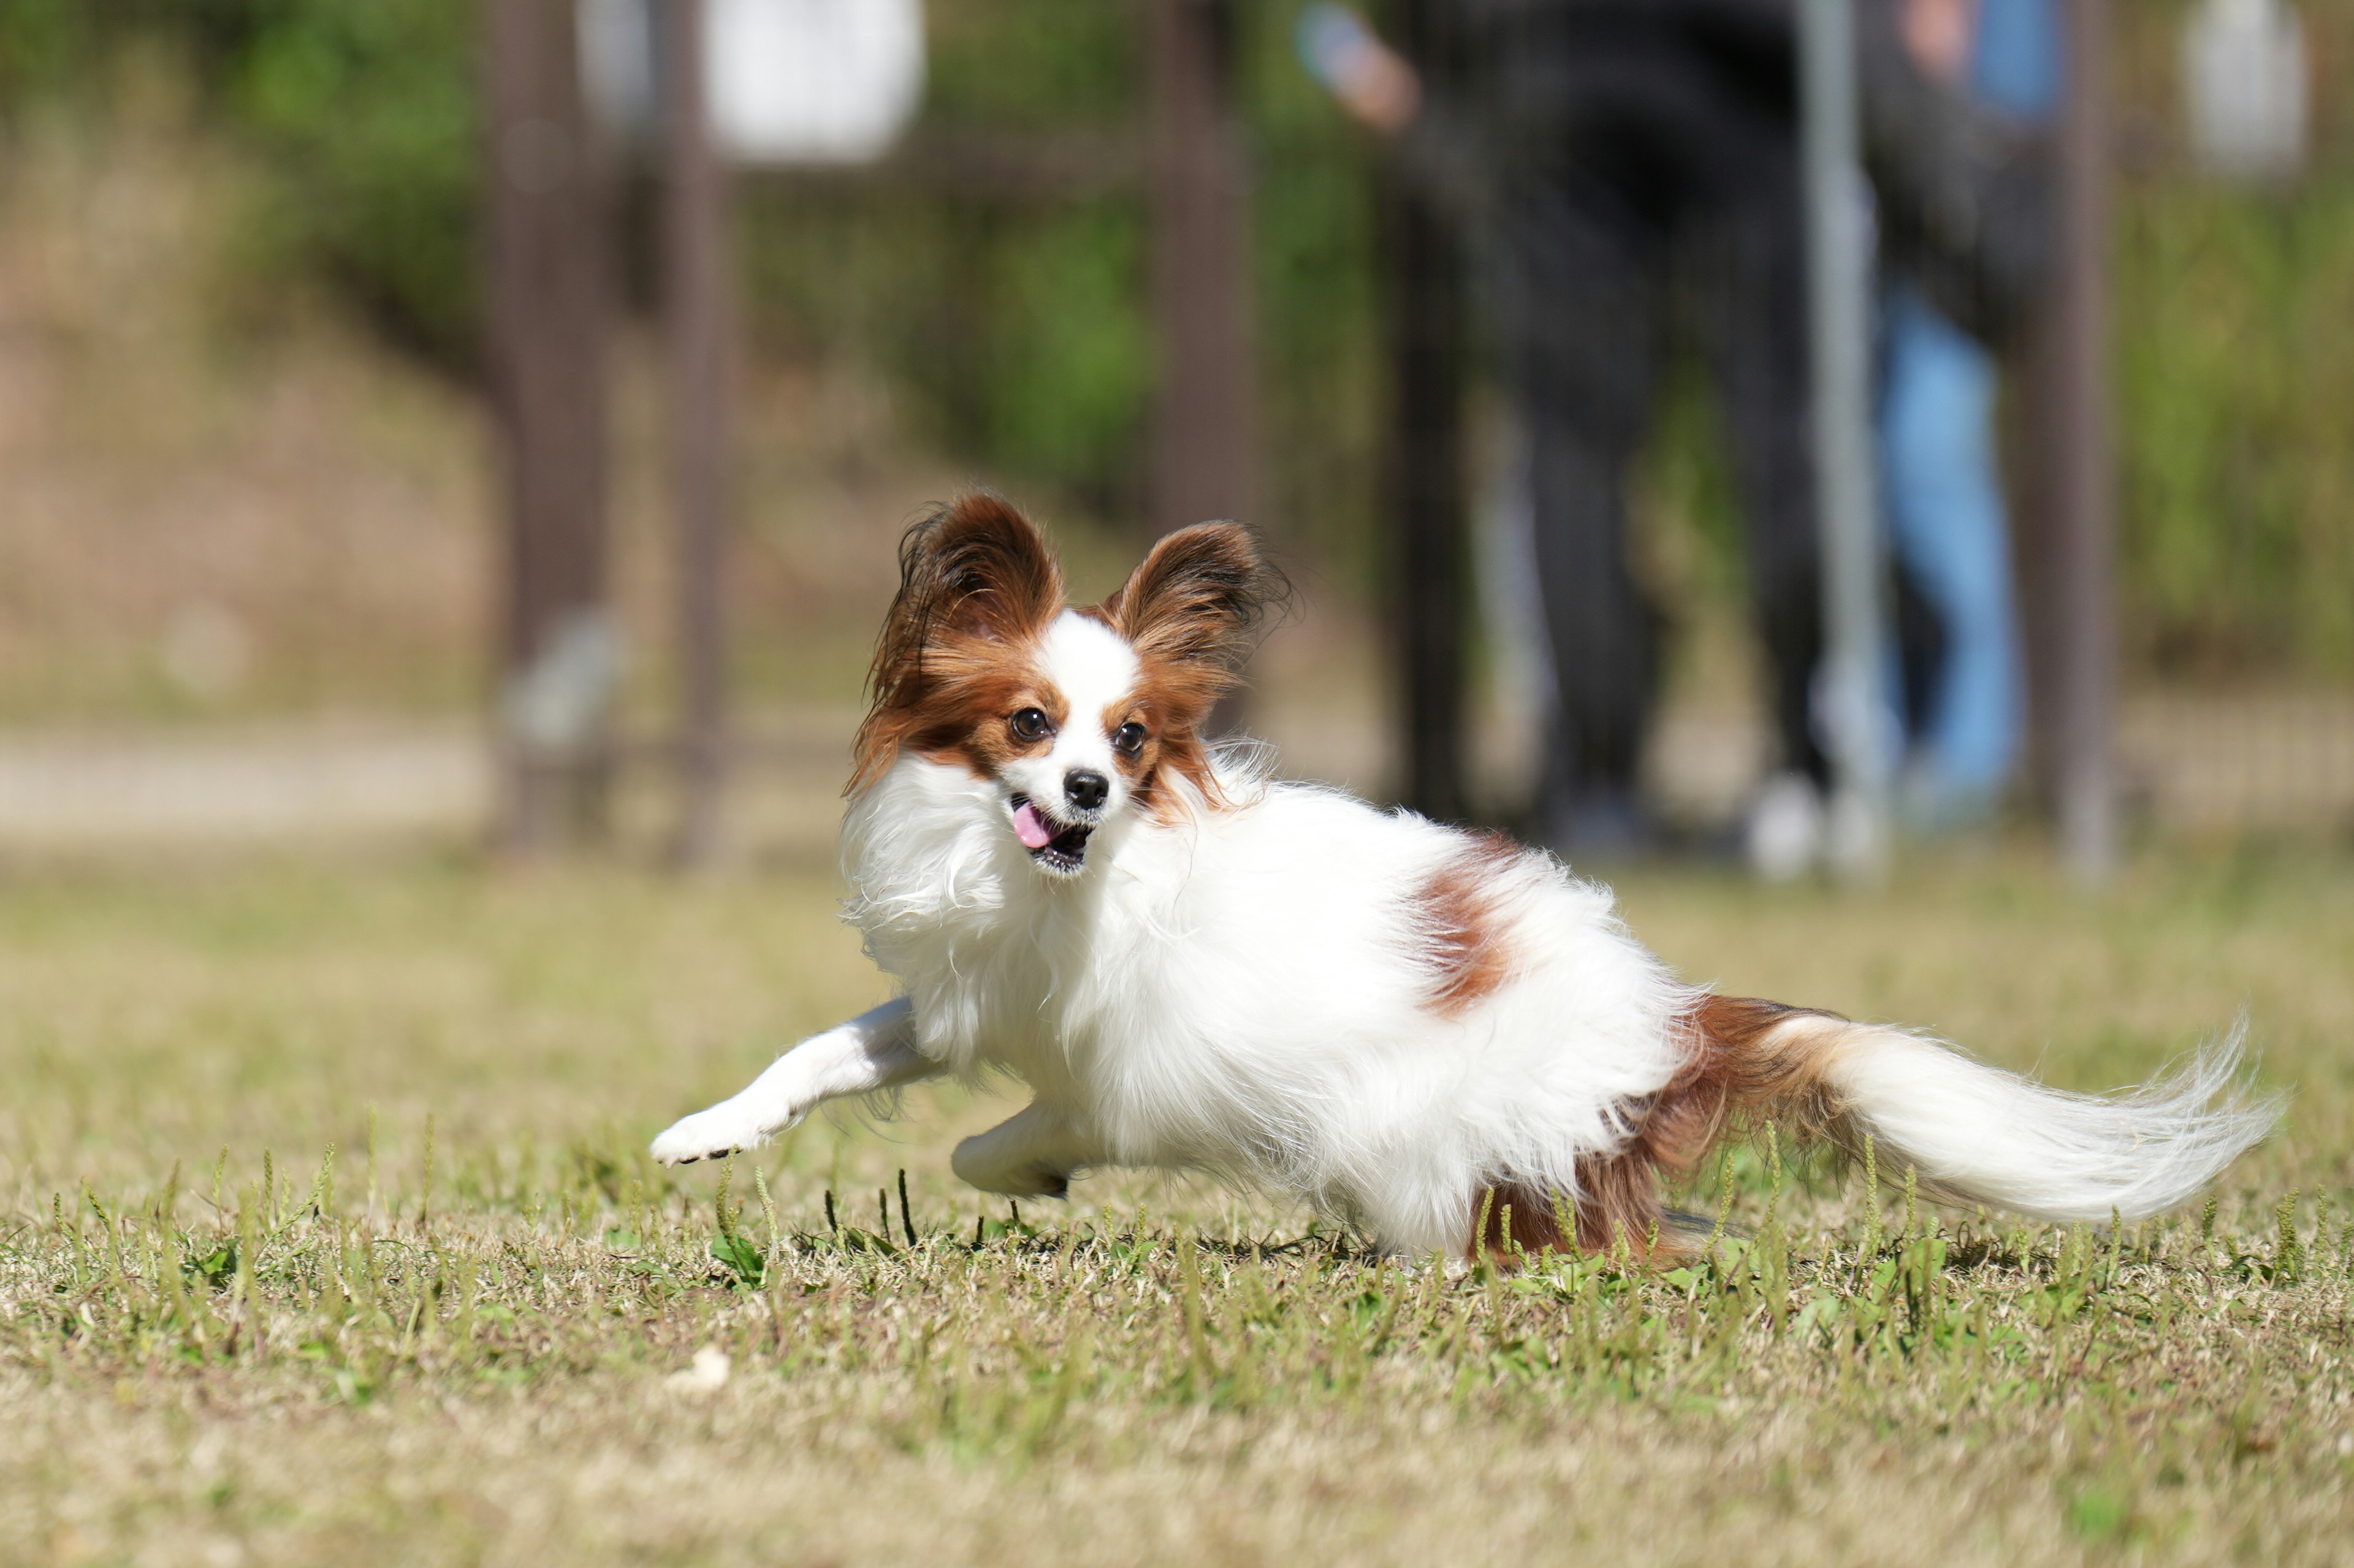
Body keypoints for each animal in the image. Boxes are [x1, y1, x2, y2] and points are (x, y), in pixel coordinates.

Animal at [654, 501, 2269, 1262]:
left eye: (1131, 738)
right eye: (1030, 724)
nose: (1093, 792)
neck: (1043, 875)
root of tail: (1665, 1022)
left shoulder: (1125, 1064)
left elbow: (1006, 1138)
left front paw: (1020, 1167)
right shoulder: (971, 997)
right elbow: (826, 1054)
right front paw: (705, 1130)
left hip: (1435, 1139)